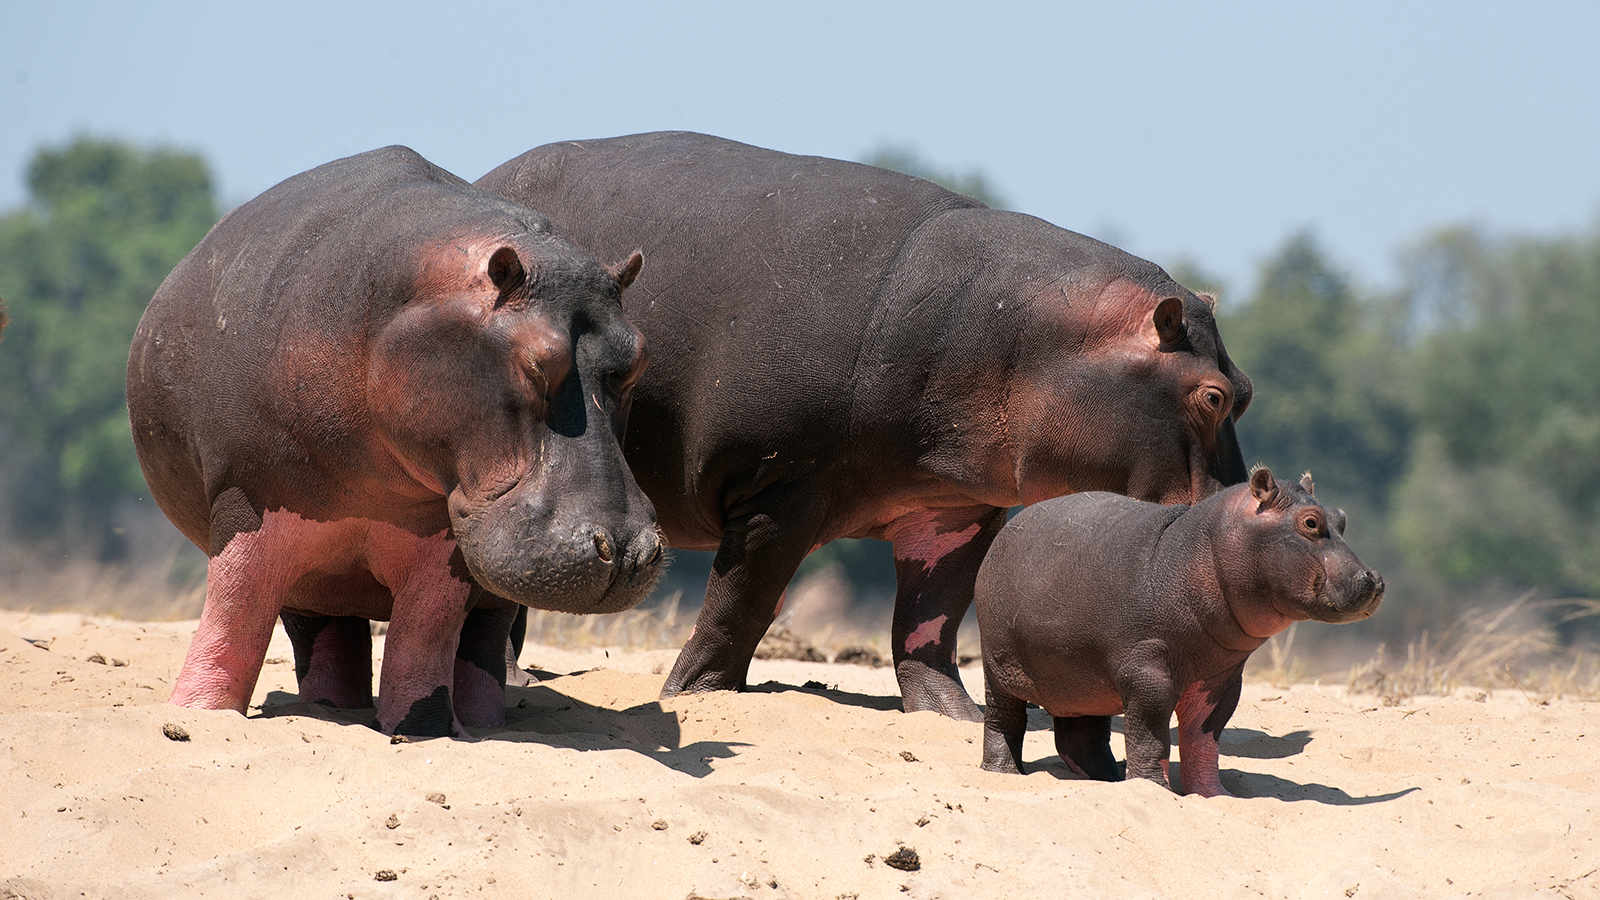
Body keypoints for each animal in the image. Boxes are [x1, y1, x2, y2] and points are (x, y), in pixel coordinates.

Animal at [123, 148, 662, 736]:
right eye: (535, 363)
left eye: (639, 357)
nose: (628, 551)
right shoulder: (250, 498)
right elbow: (235, 610)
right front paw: (199, 715)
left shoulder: (447, 536)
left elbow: (425, 632)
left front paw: (421, 729)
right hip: (313, 576)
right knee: (321, 633)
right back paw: (329, 709)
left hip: (480, 590)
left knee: (479, 642)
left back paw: (479, 724)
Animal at [979, 461, 1382, 791]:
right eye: (1311, 522)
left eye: (1341, 517)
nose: (1374, 579)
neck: (1203, 550)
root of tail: (1009, 528)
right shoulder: (1147, 673)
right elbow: (1150, 736)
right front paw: (1153, 788)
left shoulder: (1220, 680)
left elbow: (1204, 740)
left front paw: (1213, 795)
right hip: (998, 666)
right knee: (1003, 719)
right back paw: (1003, 773)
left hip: (1082, 679)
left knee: (1083, 735)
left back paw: (1106, 779)